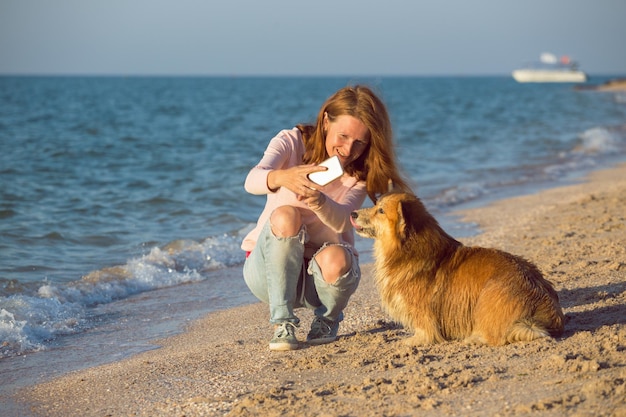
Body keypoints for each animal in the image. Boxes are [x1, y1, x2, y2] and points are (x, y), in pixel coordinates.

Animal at [348, 192, 564, 344]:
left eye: (381, 210)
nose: (352, 213)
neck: (408, 248)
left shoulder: (422, 314)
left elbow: (424, 332)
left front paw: (409, 341)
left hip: (487, 297)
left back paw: (474, 338)